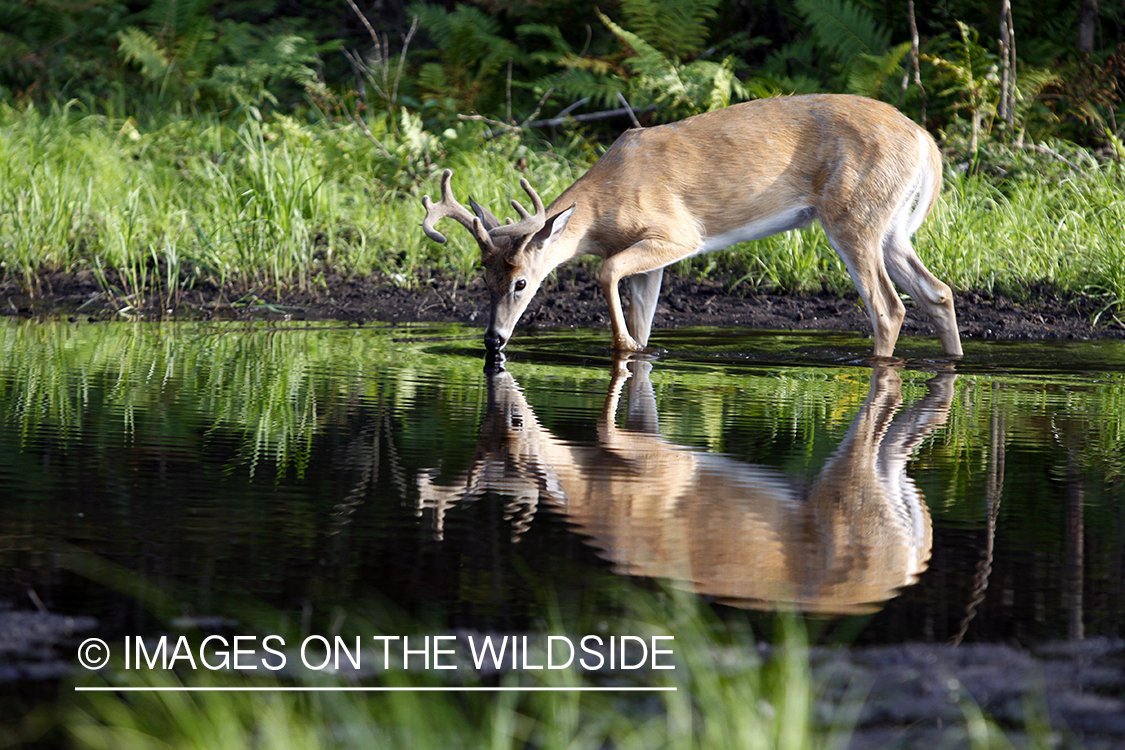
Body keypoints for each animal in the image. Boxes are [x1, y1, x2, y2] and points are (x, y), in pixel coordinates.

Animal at [418, 93, 963, 357]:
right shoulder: (652, 259)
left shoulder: (678, 234)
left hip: (853, 216)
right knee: (937, 292)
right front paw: (638, 348)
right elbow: (642, 312)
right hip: (893, 225)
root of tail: (925, 141)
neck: (605, 206)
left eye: (522, 283)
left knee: (889, 307)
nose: (492, 340)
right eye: (483, 280)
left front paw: (622, 347)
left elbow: (606, 271)